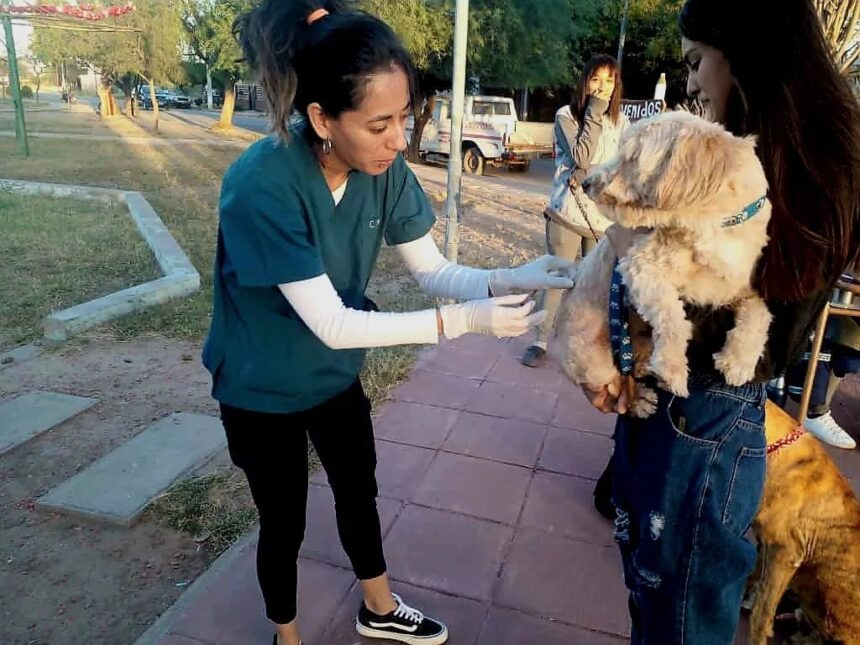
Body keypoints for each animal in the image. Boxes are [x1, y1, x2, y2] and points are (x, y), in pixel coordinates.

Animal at [548, 109, 776, 412]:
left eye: (632, 157)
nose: (586, 183)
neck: (715, 230)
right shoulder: (640, 267)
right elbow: (673, 318)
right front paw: (673, 369)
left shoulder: (740, 286)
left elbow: (760, 314)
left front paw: (738, 362)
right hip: (595, 363)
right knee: (619, 383)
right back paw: (641, 399)